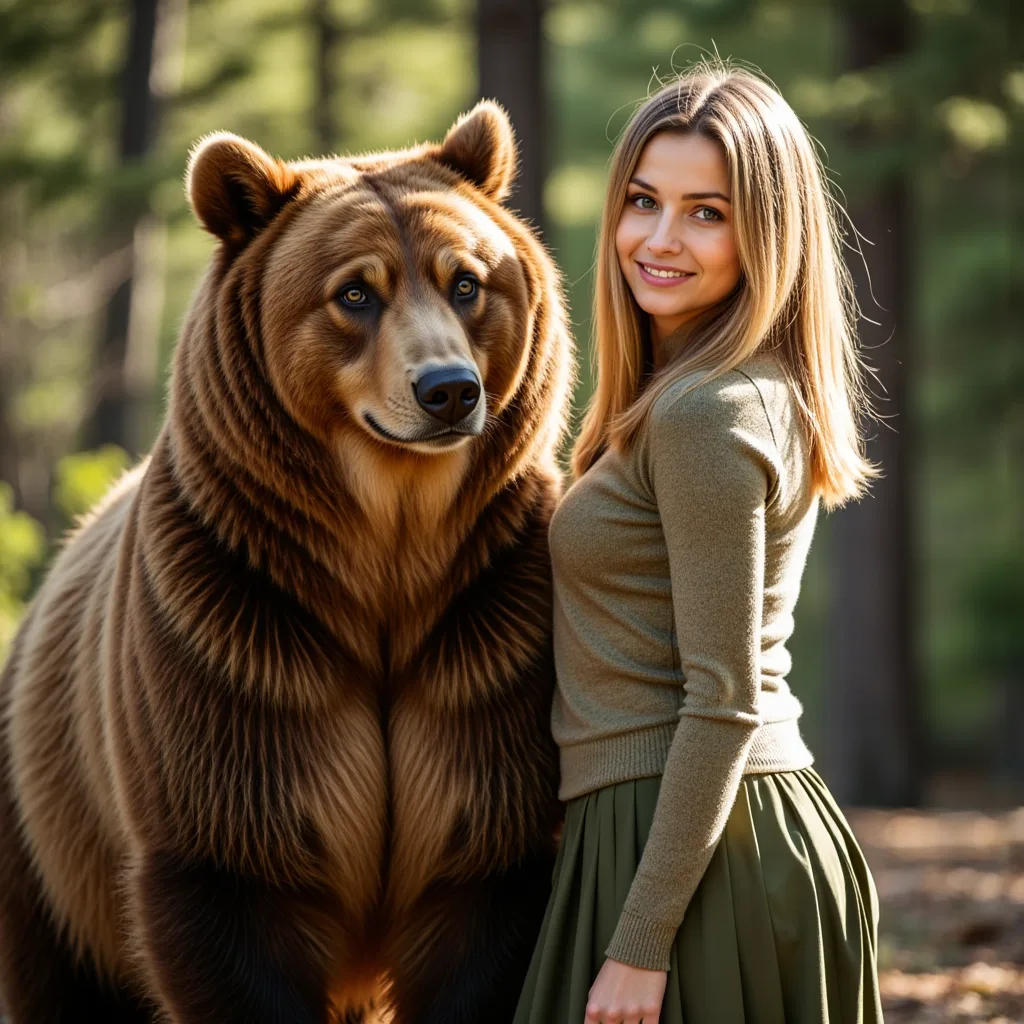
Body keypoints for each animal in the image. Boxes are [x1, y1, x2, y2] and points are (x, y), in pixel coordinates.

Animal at [0, 101, 574, 1023]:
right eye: (355, 292)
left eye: (466, 280)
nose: (448, 389)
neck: (387, 547)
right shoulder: (243, 647)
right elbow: (232, 892)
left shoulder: (486, 639)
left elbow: (483, 893)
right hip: (52, 841)